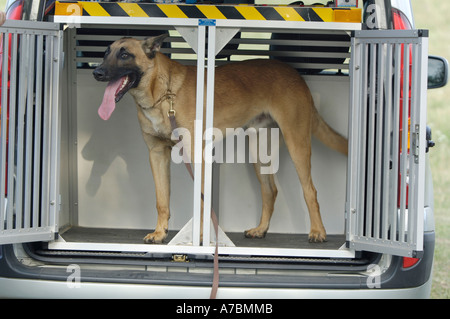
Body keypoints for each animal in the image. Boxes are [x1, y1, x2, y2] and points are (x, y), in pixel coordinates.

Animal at [92, 35, 348, 244]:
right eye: (105, 53)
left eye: (125, 54)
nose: (97, 72)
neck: (162, 93)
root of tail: (295, 73)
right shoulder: (157, 155)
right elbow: (161, 200)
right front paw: (160, 232)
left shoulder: (198, 156)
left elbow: (202, 201)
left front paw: (200, 237)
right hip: (258, 151)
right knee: (270, 190)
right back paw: (261, 229)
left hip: (297, 143)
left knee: (310, 190)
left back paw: (318, 232)